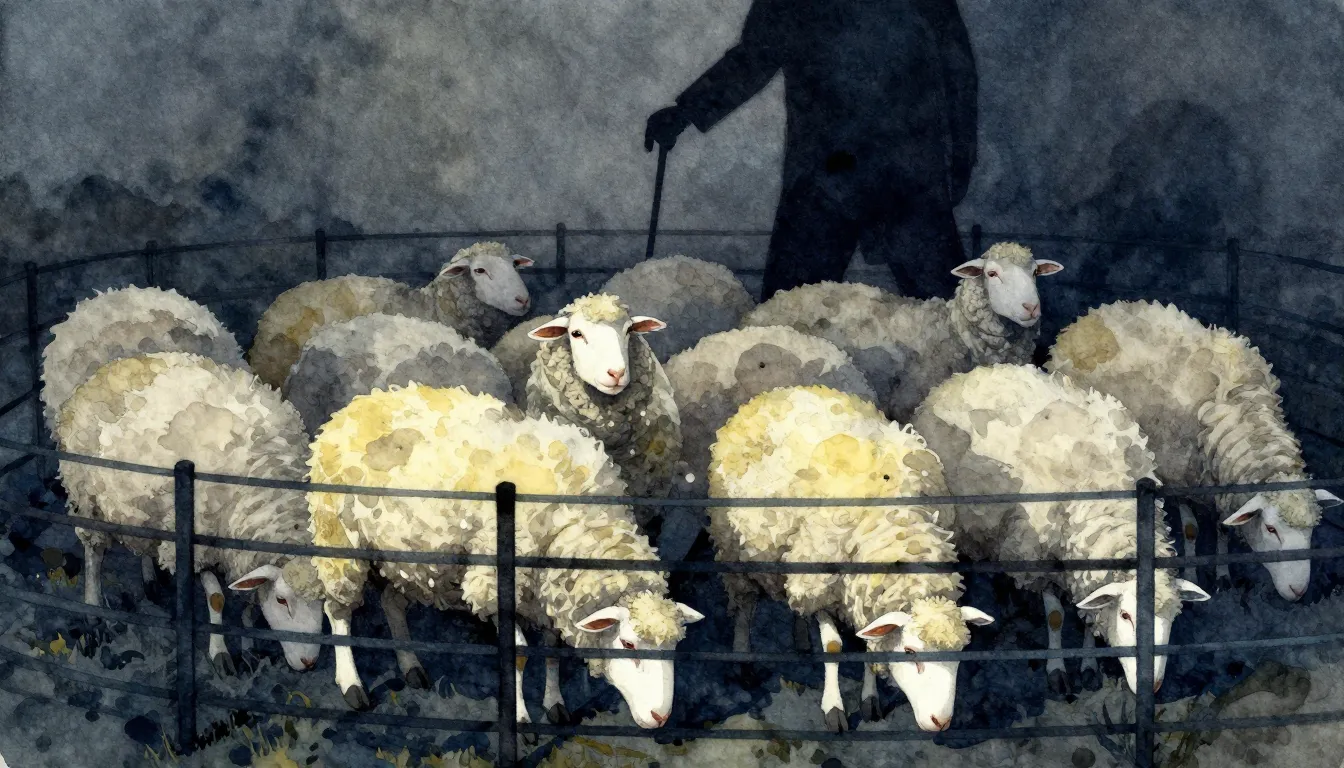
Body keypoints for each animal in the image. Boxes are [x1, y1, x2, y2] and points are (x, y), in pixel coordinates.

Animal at [55, 352, 324, 674]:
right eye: (282, 601)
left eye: (325, 605)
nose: (309, 663)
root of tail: (111, 367)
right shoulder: (200, 544)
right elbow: (217, 598)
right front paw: (220, 653)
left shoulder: (241, 553)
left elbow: (247, 606)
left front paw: (249, 648)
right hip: (87, 498)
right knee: (93, 553)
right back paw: (94, 613)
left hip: (144, 507)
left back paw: (150, 579)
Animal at [305, 383, 705, 726]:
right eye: (628, 643)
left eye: (673, 646)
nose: (660, 717)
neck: (577, 521)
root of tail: (357, 404)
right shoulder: (495, 586)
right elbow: (520, 653)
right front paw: (521, 718)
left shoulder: (548, 593)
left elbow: (552, 650)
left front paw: (554, 704)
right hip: (338, 538)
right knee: (338, 610)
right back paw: (352, 684)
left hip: (409, 559)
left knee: (391, 603)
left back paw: (410, 665)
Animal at [708, 384, 996, 733]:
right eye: (910, 652)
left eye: (959, 654)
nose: (940, 722)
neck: (897, 527)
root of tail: (776, 392)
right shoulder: (822, 580)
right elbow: (834, 647)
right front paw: (834, 709)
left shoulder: (857, 593)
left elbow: (864, 645)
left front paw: (869, 701)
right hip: (735, 549)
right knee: (745, 605)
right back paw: (743, 659)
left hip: (791, 554)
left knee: (792, 599)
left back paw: (800, 638)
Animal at [910, 363, 1212, 697]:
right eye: (1125, 615)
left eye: (1172, 617)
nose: (1152, 685)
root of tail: (971, 373)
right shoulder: (1038, 560)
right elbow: (1055, 617)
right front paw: (1057, 670)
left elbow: (1087, 617)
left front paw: (1089, 666)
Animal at [1047, 300, 1343, 602]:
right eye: (1271, 529)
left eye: (1312, 529)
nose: (1299, 591)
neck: (1242, 416)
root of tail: (1090, 316)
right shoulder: (1181, 481)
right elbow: (1190, 531)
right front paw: (1192, 573)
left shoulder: (1221, 488)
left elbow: (1223, 527)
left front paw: (1223, 576)